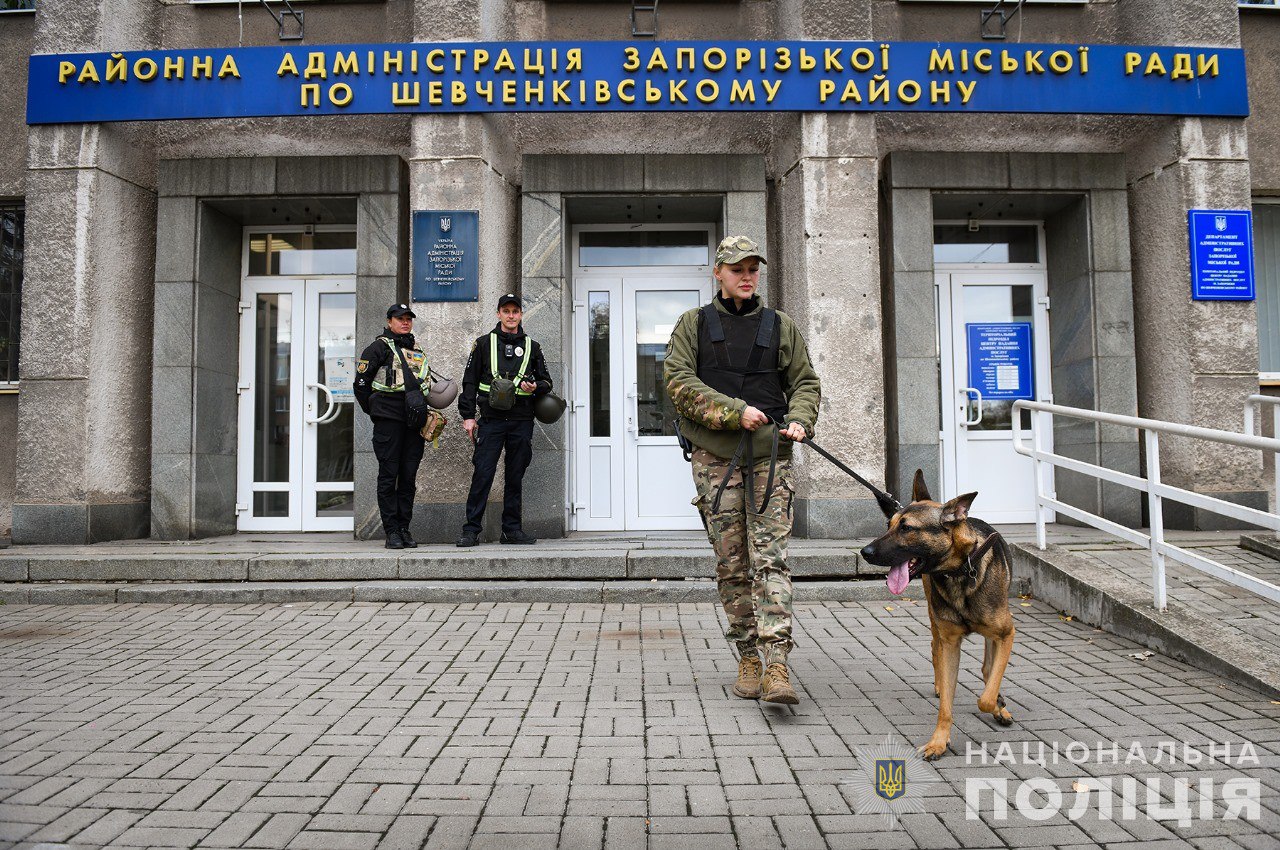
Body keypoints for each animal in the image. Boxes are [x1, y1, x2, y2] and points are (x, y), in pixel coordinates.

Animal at [865, 471, 1013, 757]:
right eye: (889, 524)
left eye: (906, 528)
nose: (864, 552)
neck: (960, 571)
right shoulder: (951, 642)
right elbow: (947, 705)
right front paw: (939, 742)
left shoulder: (1006, 634)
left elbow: (986, 695)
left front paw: (998, 704)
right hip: (935, 619)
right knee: (936, 648)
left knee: (987, 667)